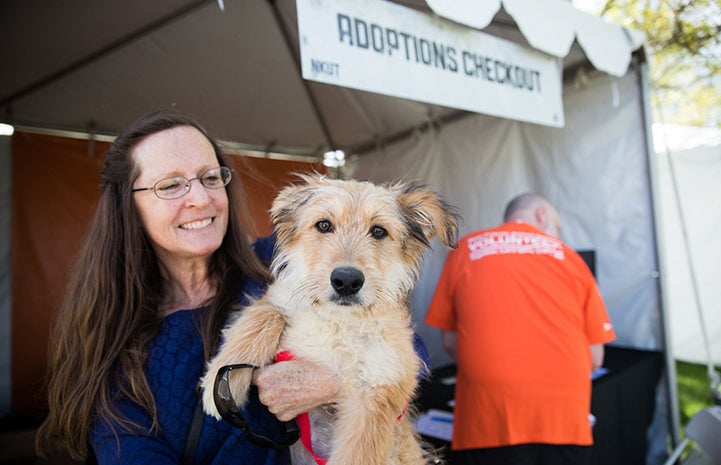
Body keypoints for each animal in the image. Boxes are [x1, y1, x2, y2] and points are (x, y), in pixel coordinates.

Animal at [198, 173, 456, 464]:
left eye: (379, 231)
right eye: (323, 225)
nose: (346, 281)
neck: (338, 321)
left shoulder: (377, 390)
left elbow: (357, 454)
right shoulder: (278, 297)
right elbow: (265, 315)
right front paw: (220, 383)